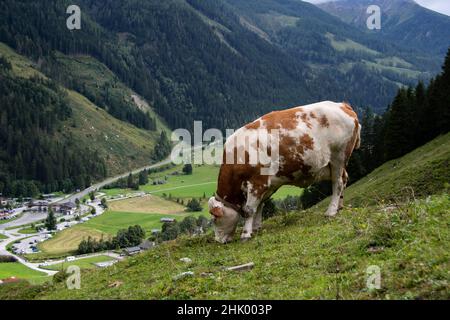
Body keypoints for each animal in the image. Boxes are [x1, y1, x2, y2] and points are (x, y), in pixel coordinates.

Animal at [208, 101, 362, 244]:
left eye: (215, 218)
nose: (218, 240)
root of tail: (342, 105)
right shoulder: (267, 184)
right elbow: (260, 205)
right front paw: (256, 228)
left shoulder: (257, 181)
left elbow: (249, 209)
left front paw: (246, 234)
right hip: (335, 164)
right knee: (344, 179)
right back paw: (339, 206)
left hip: (338, 156)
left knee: (338, 183)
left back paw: (331, 211)